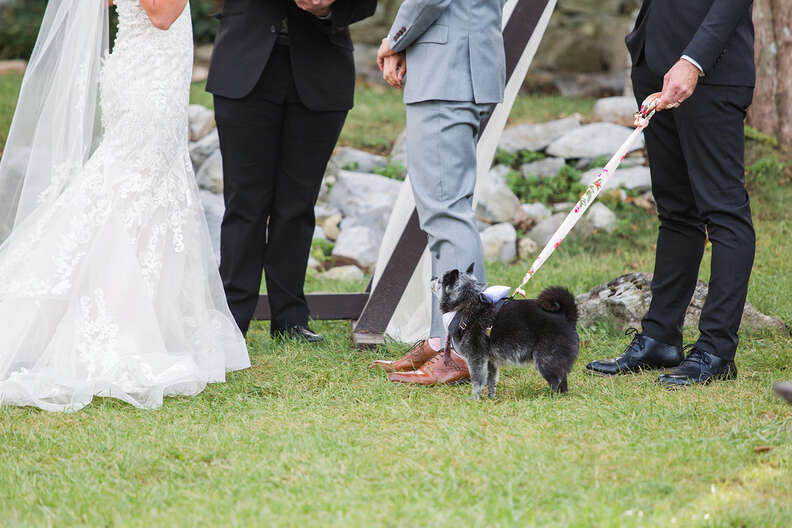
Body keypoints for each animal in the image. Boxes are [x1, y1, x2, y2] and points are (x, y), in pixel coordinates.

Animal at [436, 266, 580, 398]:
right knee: (563, 380)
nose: (433, 277)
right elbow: (491, 381)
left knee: (556, 381)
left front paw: (475, 399)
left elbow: (477, 381)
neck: (466, 305)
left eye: (439, 280)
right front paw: (491, 397)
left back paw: (551, 397)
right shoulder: (490, 362)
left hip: (546, 360)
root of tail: (565, 316)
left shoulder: (476, 359)